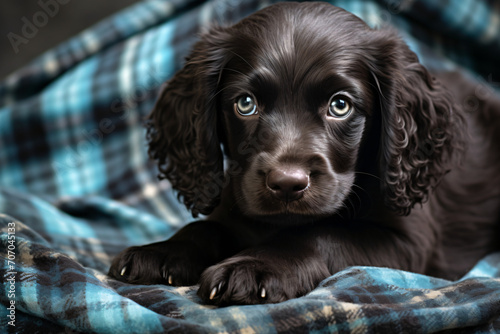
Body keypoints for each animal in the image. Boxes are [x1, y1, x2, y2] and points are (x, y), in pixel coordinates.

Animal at [108, 1, 500, 306]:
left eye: (340, 105)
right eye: (245, 104)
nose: (286, 184)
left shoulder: (409, 243)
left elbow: (321, 233)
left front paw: (255, 266)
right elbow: (204, 226)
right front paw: (161, 251)